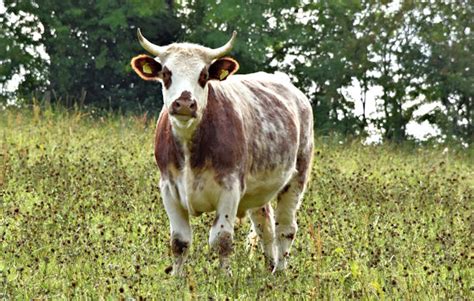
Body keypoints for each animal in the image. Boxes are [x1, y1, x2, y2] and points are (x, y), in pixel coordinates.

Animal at [131, 29, 312, 276]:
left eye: (204, 74)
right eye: (167, 73)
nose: (185, 103)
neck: (189, 149)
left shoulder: (230, 188)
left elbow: (222, 239)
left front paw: (225, 276)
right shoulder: (168, 188)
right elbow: (179, 241)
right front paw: (176, 277)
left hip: (296, 178)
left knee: (285, 228)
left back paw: (280, 271)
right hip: (258, 191)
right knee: (265, 226)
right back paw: (269, 266)